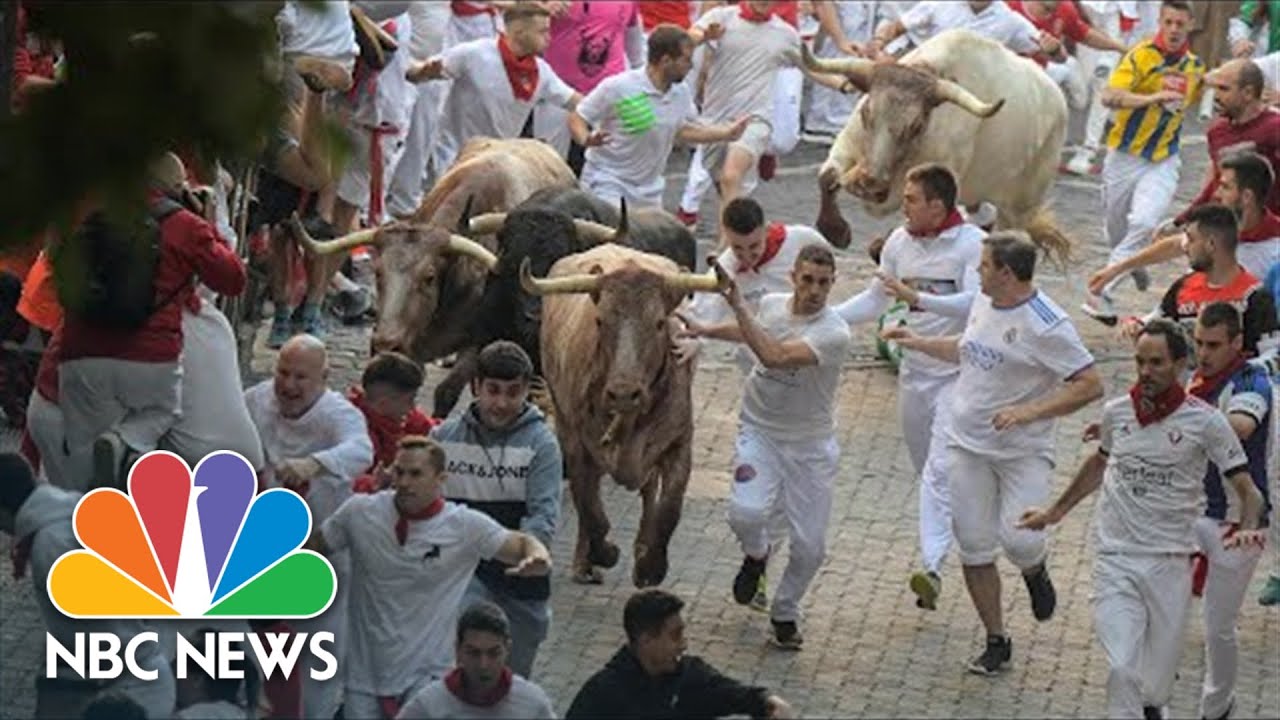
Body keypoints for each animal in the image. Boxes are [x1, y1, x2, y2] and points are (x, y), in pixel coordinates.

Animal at [290, 136, 576, 412]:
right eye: (378, 273)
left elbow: (447, 392)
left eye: (429, 277)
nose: (385, 343)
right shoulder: (411, 346)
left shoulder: (480, 344)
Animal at [524, 243, 732, 586]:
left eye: (660, 322)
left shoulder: (679, 443)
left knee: (648, 491)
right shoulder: (574, 442)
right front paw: (604, 552)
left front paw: (651, 566)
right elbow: (590, 508)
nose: (623, 393)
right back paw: (585, 562)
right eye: (600, 321)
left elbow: (669, 509)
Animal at [808, 29, 1070, 263]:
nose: (868, 183)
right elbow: (827, 174)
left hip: (1022, 202)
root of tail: (1057, 97)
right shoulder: (848, 144)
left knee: (1010, 230)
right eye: (866, 112)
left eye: (916, 125)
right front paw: (835, 230)